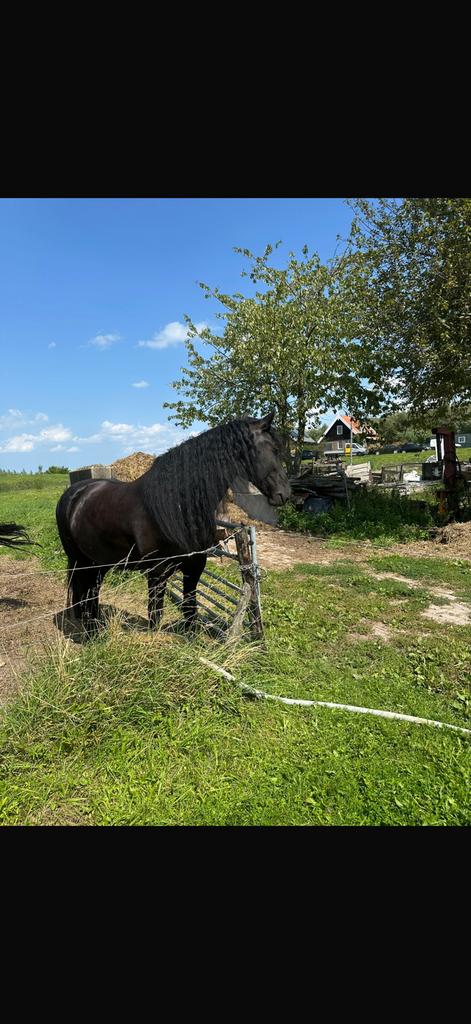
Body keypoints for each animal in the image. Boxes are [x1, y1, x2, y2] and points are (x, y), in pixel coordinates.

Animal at [55, 412, 291, 636]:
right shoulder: (156, 571)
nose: (285, 494)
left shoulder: (194, 566)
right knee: (83, 591)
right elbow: (155, 615)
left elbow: (190, 610)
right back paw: (90, 632)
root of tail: (74, 493)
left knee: (91, 593)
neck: (174, 505)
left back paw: (95, 627)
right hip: (80, 560)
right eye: (275, 449)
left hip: (99, 561)